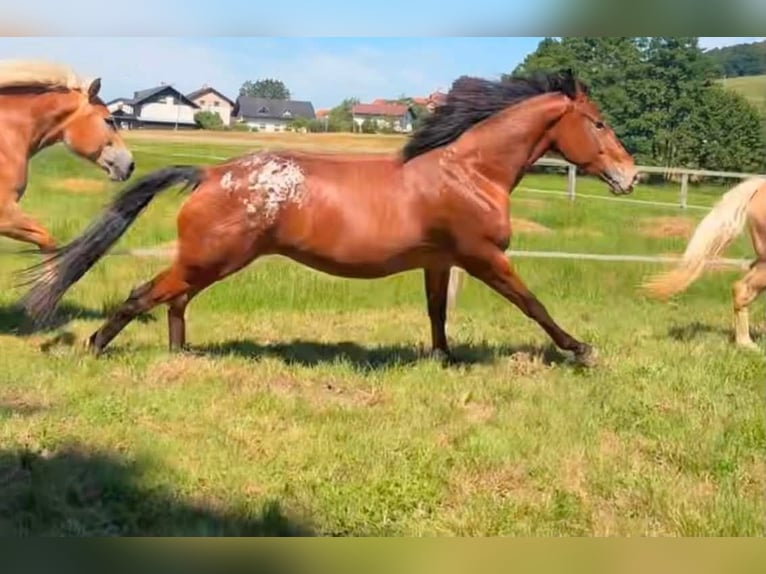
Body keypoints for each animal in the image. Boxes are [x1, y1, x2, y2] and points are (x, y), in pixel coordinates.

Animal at [19, 69, 638, 365]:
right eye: (599, 123)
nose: (629, 176)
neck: (470, 172)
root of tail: (209, 174)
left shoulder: (439, 262)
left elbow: (437, 313)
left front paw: (443, 358)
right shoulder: (484, 257)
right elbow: (533, 304)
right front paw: (580, 349)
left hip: (209, 263)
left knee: (172, 301)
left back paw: (181, 354)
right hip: (211, 259)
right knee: (145, 294)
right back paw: (96, 347)